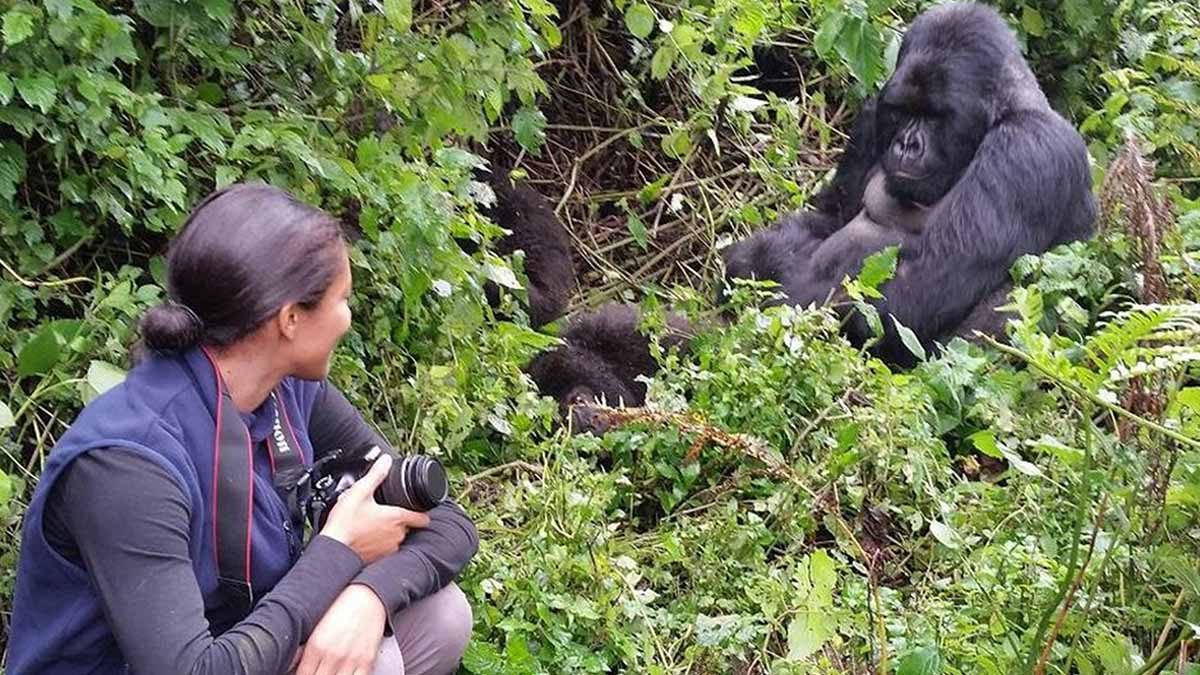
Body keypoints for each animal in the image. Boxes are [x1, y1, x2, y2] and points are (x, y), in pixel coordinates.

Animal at [720, 2, 1099, 365]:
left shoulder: (1029, 149)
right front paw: (754, 258)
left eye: (935, 117)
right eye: (903, 110)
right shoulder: (872, 116)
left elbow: (918, 288)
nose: (907, 144)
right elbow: (830, 217)